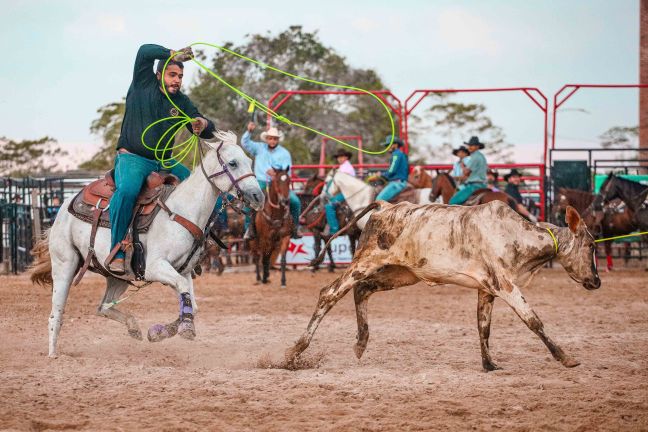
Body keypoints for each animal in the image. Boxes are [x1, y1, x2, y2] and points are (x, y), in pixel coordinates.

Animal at [30, 132, 264, 358]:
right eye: (233, 163)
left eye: (249, 161)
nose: (258, 197)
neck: (180, 211)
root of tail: (63, 210)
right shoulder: (155, 267)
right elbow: (182, 289)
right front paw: (185, 328)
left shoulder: (183, 270)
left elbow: (191, 303)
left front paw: (160, 332)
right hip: (65, 265)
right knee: (56, 313)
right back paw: (53, 353)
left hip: (118, 278)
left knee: (103, 306)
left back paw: (133, 327)